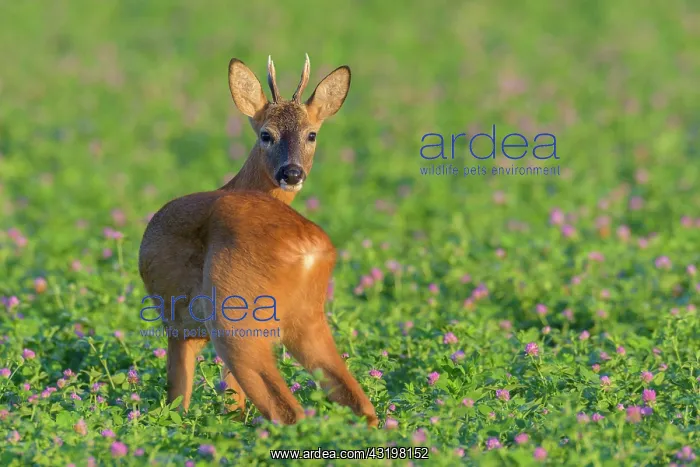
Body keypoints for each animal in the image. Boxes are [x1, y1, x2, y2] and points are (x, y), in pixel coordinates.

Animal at [138, 54, 378, 427]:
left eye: (312, 134)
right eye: (267, 134)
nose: (292, 173)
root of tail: (310, 251)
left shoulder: (178, 325)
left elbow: (180, 397)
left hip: (237, 318)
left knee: (287, 410)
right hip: (306, 319)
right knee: (362, 404)